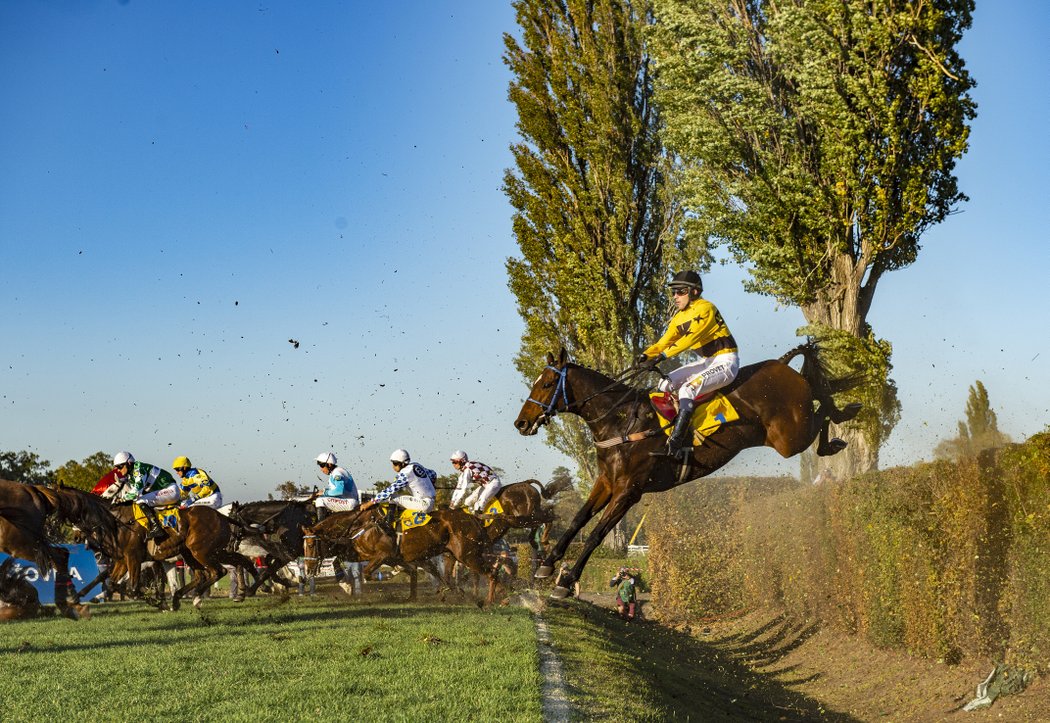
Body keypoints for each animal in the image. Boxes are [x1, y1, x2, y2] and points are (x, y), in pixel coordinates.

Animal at [304, 507, 503, 604]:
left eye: (311, 544)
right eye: (303, 545)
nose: (308, 569)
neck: (361, 525)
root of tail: (473, 518)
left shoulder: (383, 554)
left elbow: (367, 573)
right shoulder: (362, 553)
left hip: (468, 555)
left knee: (493, 573)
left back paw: (489, 600)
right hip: (451, 555)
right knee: (449, 577)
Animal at [514, 344, 860, 596]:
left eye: (547, 384)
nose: (521, 423)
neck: (621, 420)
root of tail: (781, 364)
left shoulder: (629, 491)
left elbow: (597, 533)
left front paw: (565, 581)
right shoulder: (607, 482)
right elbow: (578, 520)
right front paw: (547, 564)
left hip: (791, 437)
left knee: (822, 408)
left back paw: (843, 418)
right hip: (788, 435)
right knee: (820, 396)